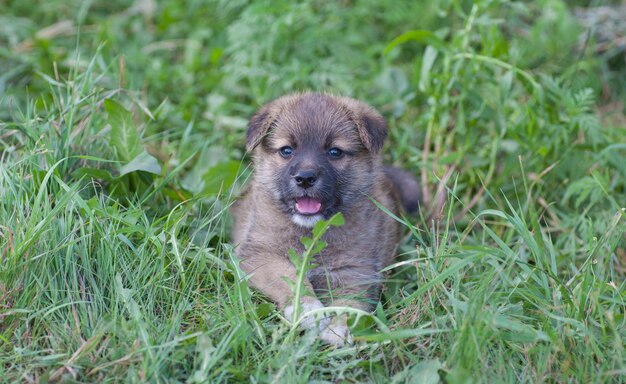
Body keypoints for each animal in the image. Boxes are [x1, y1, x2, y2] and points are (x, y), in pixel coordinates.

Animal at [230, 93, 420, 344]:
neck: (311, 231)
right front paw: (308, 310)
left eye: (335, 152)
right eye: (287, 150)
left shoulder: (356, 270)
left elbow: (349, 302)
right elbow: (290, 278)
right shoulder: (261, 255)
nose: (305, 178)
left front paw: (339, 327)